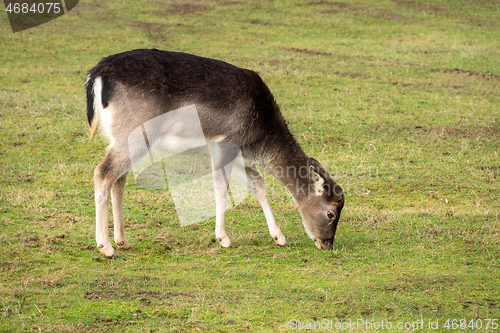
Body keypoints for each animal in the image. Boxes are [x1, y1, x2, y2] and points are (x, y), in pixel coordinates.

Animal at [85, 48, 344, 256]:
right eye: (331, 213)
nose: (328, 244)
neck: (259, 138)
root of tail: (96, 75)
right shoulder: (225, 143)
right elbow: (221, 187)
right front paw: (223, 238)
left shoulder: (241, 156)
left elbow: (258, 185)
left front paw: (279, 237)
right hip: (137, 132)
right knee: (103, 172)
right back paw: (106, 247)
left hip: (121, 137)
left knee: (119, 179)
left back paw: (122, 240)